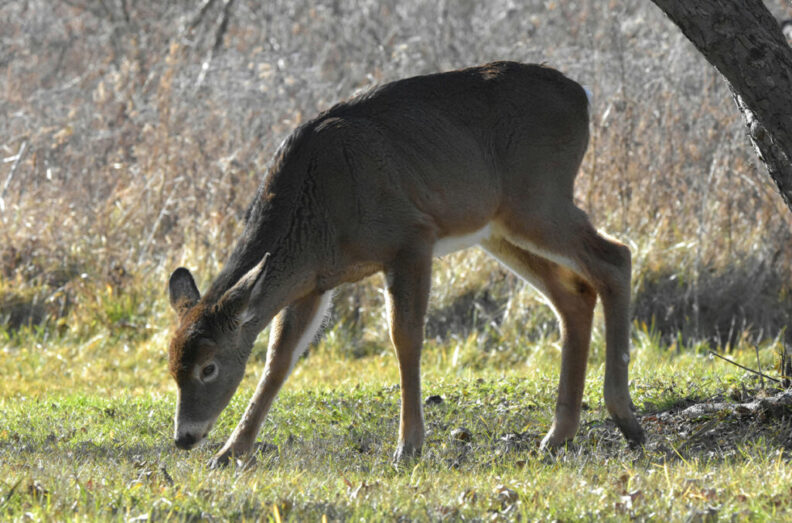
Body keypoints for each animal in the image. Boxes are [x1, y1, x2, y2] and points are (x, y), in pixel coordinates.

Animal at [167, 61, 645, 467]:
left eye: (208, 367)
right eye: (171, 367)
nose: (184, 438)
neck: (315, 208)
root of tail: (581, 96)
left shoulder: (410, 237)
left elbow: (406, 337)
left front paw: (409, 445)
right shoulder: (314, 281)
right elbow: (278, 358)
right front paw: (230, 452)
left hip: (538, 198)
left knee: (616, 256)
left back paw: (626, 420)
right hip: (498, 226)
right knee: (575, 294)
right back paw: (558, 435)